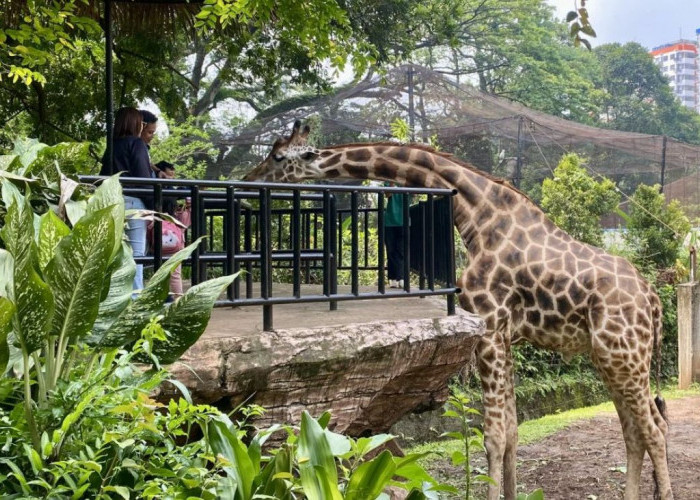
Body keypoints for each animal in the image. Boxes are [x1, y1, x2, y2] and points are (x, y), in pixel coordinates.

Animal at [245, 122, 672, 500]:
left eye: (278, 156)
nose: (249, 179)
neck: (477, 217)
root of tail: (653, 299)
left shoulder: (489, 327)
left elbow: (494, 436)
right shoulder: (505, 335)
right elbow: (511, 432)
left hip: (623, 356)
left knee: (655, 430)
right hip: (611, 358)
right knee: (634, 432)